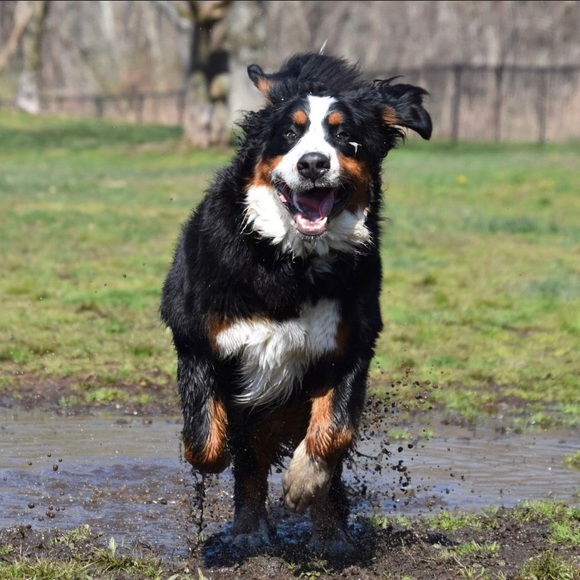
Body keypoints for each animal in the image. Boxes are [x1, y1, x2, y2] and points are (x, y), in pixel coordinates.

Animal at [161, 52, 431, 554]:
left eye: (345, 136)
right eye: (290, 132)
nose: (313, 164)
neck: (290, 263)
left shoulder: (350, 344)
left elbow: (333, 432)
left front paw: (305, 482)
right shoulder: (196, 340)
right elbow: (207, 442)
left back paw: (331, 535)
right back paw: (248, 533)